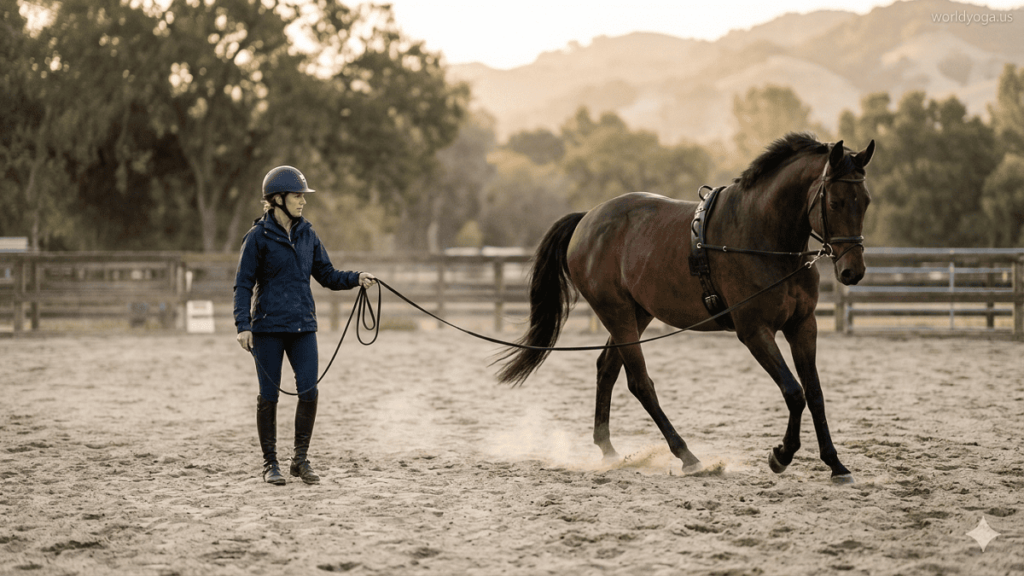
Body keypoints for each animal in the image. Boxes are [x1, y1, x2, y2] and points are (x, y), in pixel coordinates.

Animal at [497, 132, 874, 484]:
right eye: (836, 201)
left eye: (866, 201)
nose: (852, 271)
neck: (763, 235)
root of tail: (586, 220)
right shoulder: (754, 331)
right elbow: (794, 392)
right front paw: (781, 455)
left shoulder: (803, 325)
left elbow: (815, 393)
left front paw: (836, 465)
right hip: (617, 314)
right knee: (639, 383)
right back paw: (687, 456)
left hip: (637, 314)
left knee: (607, 369)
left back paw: (609, 451)